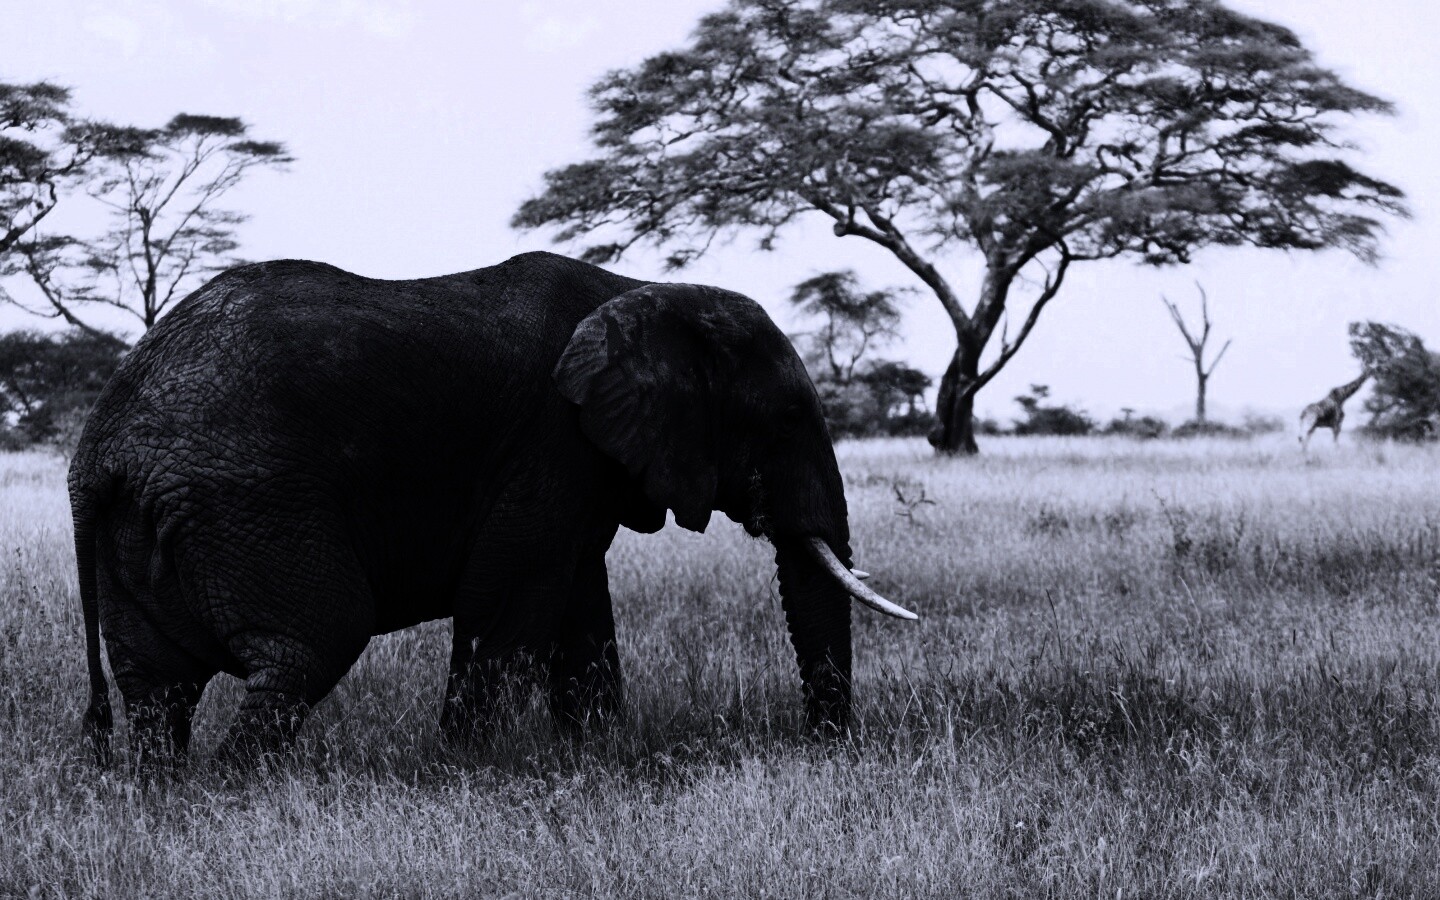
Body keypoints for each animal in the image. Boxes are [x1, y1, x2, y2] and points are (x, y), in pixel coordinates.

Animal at [69, 250, 915, 766]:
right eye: (786, 419)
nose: (822, 747)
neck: (641, 291)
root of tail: (98, 445)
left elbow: (578, 608)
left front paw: (596, 759)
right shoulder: (551, 442)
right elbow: (507, 602)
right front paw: (467, 771)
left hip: (149, 525)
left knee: (157, 687)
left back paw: (170, 798)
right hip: (249, 502)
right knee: (310, 642)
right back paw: (238, 794)